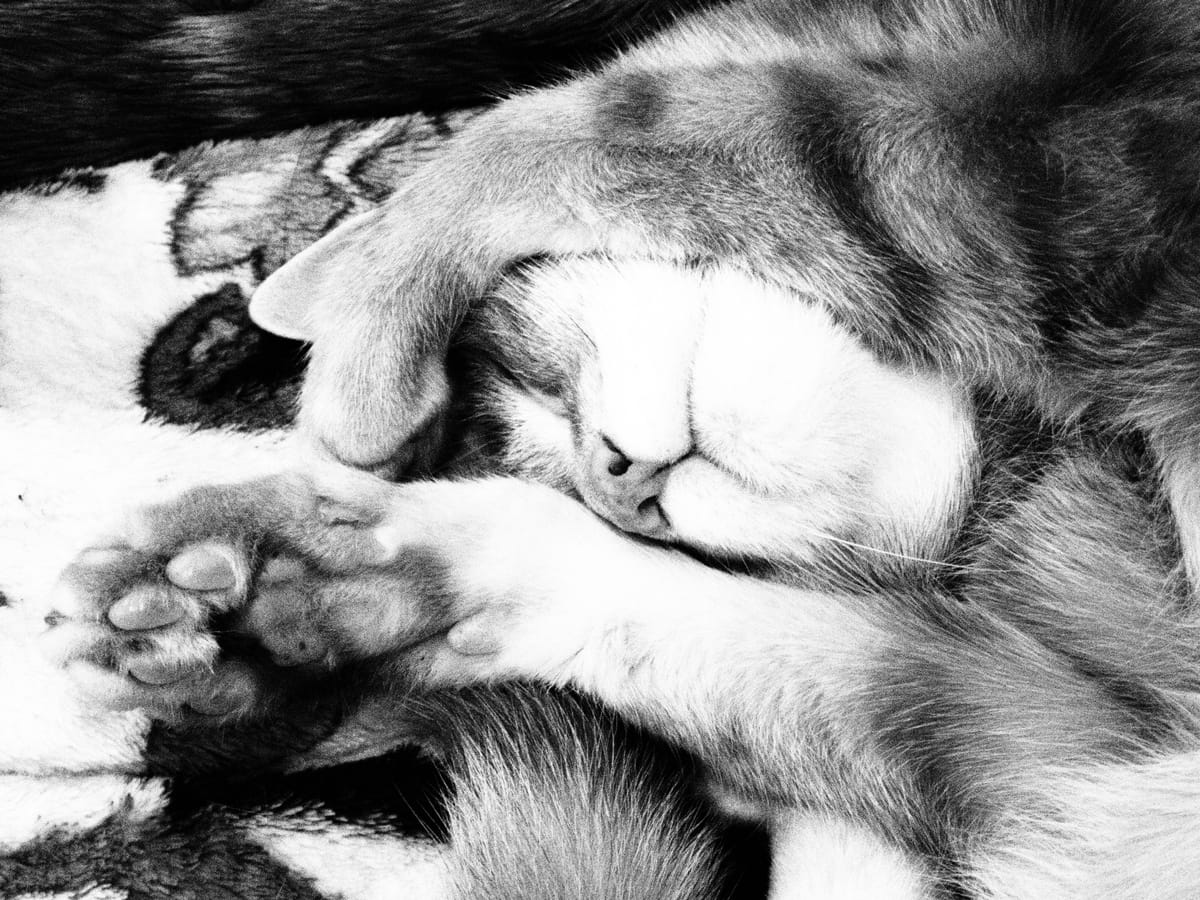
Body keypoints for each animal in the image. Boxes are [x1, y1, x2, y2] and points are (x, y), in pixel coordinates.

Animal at [42, 256, 1200, 897]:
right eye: (550, 417)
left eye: (540, 381)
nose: (617, 480)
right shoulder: (1057, 760)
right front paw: (305, 614)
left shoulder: (1088, 774)